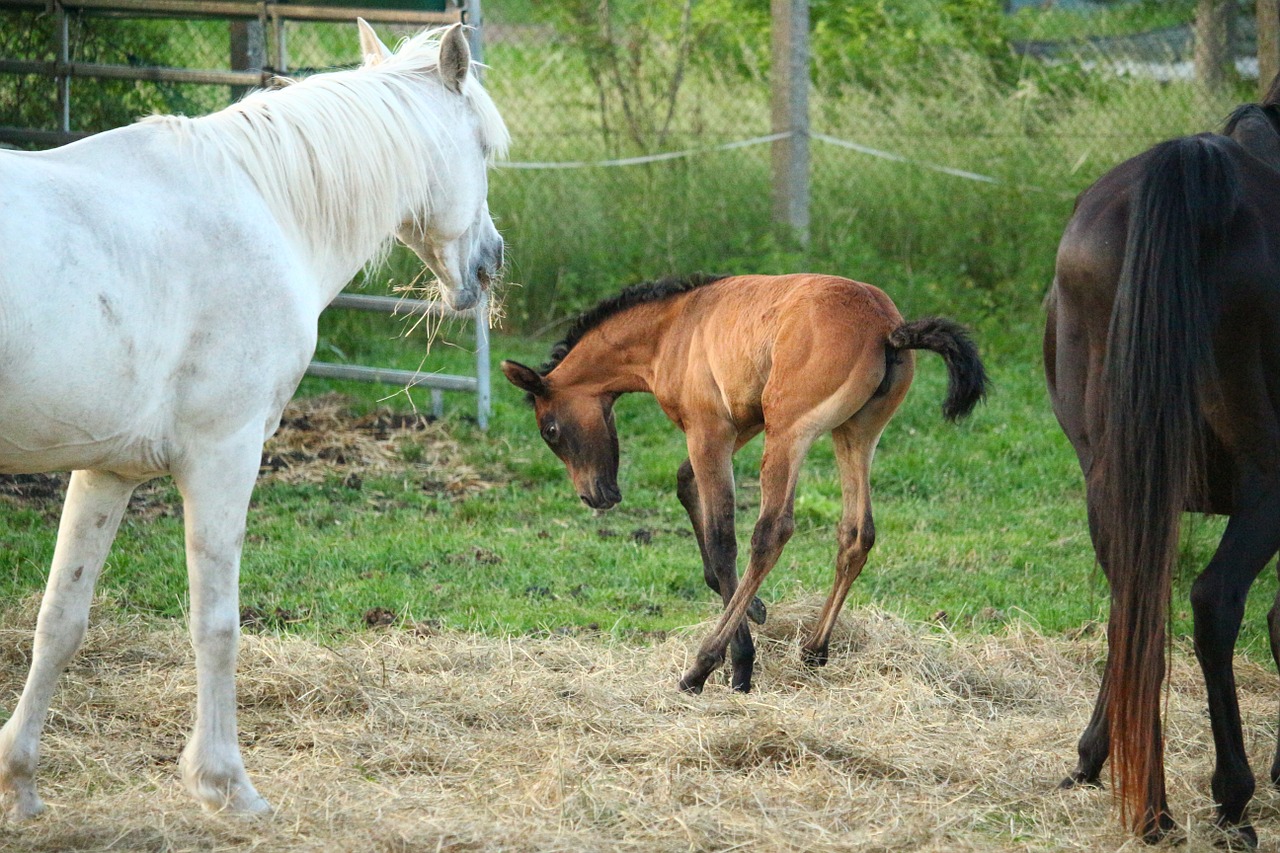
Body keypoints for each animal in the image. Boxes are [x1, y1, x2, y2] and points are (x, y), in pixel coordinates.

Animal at [0, 21, 506, 819]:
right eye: (482, 146)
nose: (490, 263)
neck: (266, 208)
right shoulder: (224, 455)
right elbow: (216, 625)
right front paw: (225, 783)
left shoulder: (106, 470)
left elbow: (60, 620)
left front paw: (18, 781)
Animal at [504, 272, 983, 691]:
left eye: (550, 430)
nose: (595, 496)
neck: (671, 329)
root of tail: (887, 326)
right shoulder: (743, 422)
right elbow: (686, 484)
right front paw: (751, 607)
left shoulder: (708, 429)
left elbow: (722, 539)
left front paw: (741, 661)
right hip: (856, 432)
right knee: (856, 532)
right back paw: (814, 650)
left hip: (790, 430)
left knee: (772, 532)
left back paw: (701, 667)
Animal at [1044, 81, 1280, 845]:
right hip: (1270, 484)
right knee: (1214, 601)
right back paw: (1230, 799)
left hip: (1113, 476)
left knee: (1135, 598)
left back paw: (1147, 803)